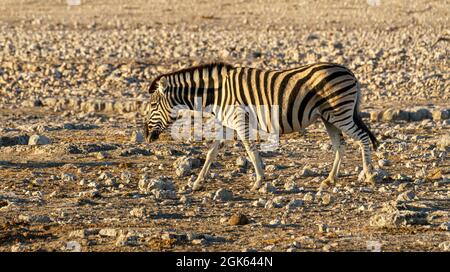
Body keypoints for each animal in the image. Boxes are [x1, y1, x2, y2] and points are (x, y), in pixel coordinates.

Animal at [143, 62, 376, 191]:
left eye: (153, 105)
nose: (145, 136)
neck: (216, 94)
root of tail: (349, 72)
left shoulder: (239, 121)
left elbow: (250, 150)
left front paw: (259, 181)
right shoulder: (226, 124)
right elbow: (211, 153)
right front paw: (197, 183)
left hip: (340, 113)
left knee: (363, 138)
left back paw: (369, 175)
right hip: (329, 117)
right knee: (340, 146)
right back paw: (329, 179)